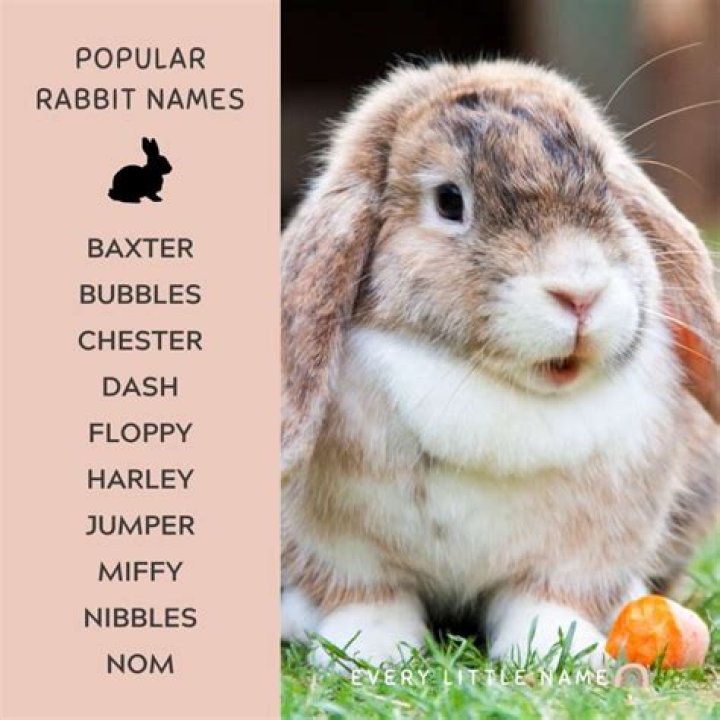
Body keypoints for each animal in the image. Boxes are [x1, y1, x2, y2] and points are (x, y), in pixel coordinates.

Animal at [281, 60, 719, 671]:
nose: (580, 293)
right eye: (449, 200)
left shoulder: (577, 555)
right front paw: (368, 652)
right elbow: (368, 598)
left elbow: (547, 600)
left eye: (608, 190)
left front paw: (562, 653)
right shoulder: (346, 552)